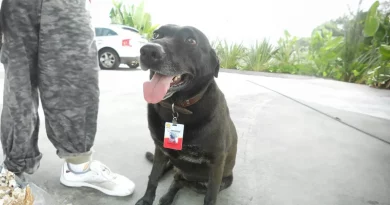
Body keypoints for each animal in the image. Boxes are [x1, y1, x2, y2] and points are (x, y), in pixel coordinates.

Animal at [139, 24, 238, 205]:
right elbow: (153, 177)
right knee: (176, 180)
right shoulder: (160, 150)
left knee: (183, 182)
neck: (177, 107)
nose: (148, 50)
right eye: (156, 35)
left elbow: (210, 197)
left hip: (222, 180)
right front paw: (145, 200)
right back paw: (167, 197)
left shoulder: (217, 161)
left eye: (191, 41)